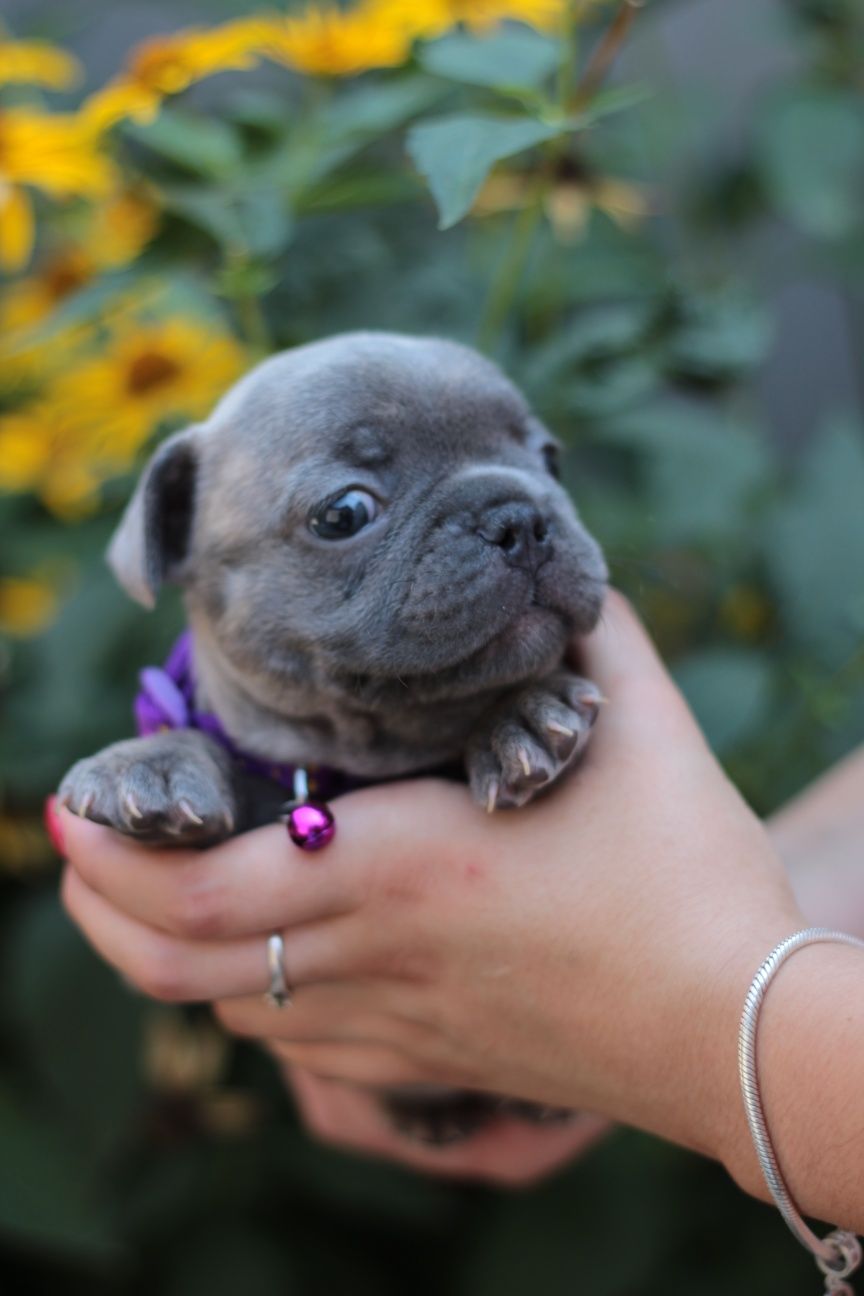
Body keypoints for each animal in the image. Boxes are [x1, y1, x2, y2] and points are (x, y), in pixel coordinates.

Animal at [57, 331, 608, 1145]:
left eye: (551, 459)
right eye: (345, 513)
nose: (521, 516)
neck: (361, 755)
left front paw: (524, 716)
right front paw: (149, 765)